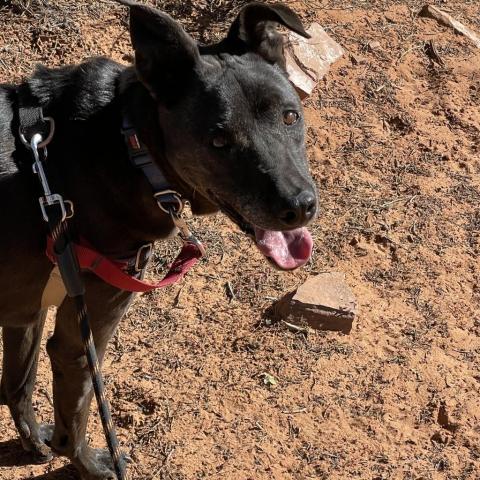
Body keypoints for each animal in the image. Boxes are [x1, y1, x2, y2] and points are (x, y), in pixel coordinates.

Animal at [0, 1, 318, 478]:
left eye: (290, 116)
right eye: (218, 140)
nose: (300, 206)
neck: (129, 144)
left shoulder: (26, 312)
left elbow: (18, 384)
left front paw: (34, 443)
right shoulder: (87, 327)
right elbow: (78, 409)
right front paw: (92, 464)